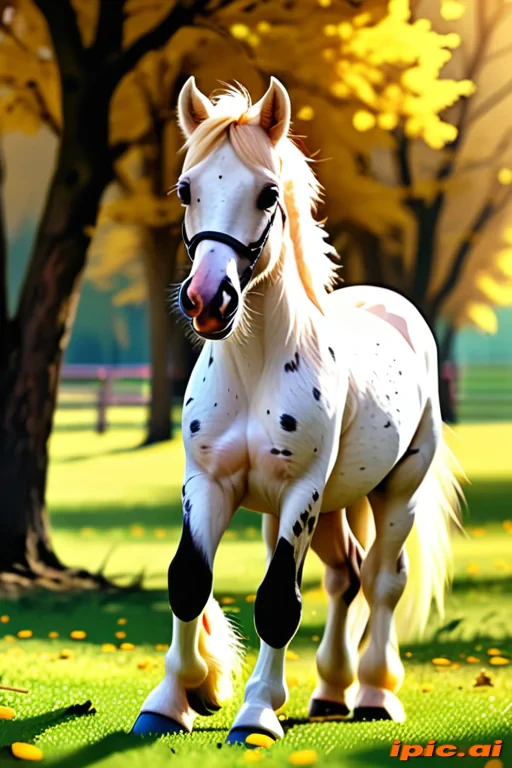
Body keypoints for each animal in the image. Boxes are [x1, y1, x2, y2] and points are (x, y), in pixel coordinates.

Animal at [132, 76, 463, 745]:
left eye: (267, 192)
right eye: (185, 189)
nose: (207, 300)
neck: (256, 369)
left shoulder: (301, 492)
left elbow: (278, 601)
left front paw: (256, 713)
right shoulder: (207, 482)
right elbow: (189, 581)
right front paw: (180, 697)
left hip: (396, 491)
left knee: (383, 581)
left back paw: (373, 693)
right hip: (328, 507)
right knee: (345, 576)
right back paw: (331, 692)